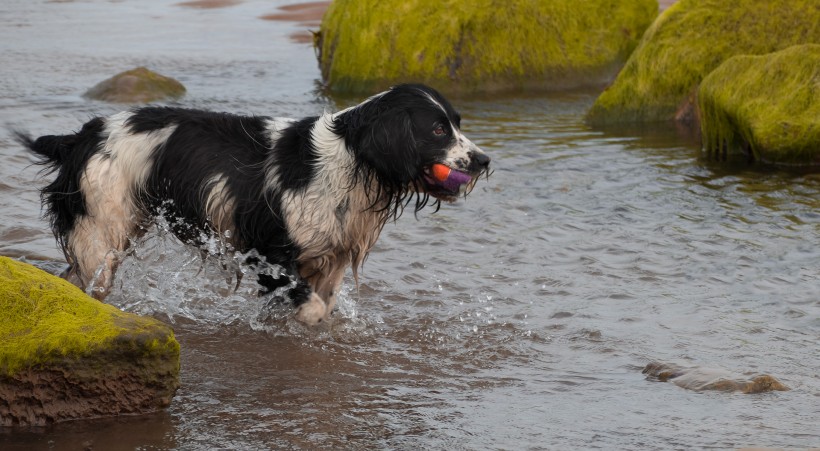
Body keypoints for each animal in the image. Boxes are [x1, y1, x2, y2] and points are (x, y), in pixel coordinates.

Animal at [19, 84, 490, 324]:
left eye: (457, 123)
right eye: (437, 130)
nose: (484, 160)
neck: (348, 159)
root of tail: (82, 135)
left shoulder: (331, 255)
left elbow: (325, 302)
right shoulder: (270, 250)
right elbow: (310, 306)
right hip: (102, 232)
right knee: (89, 280)